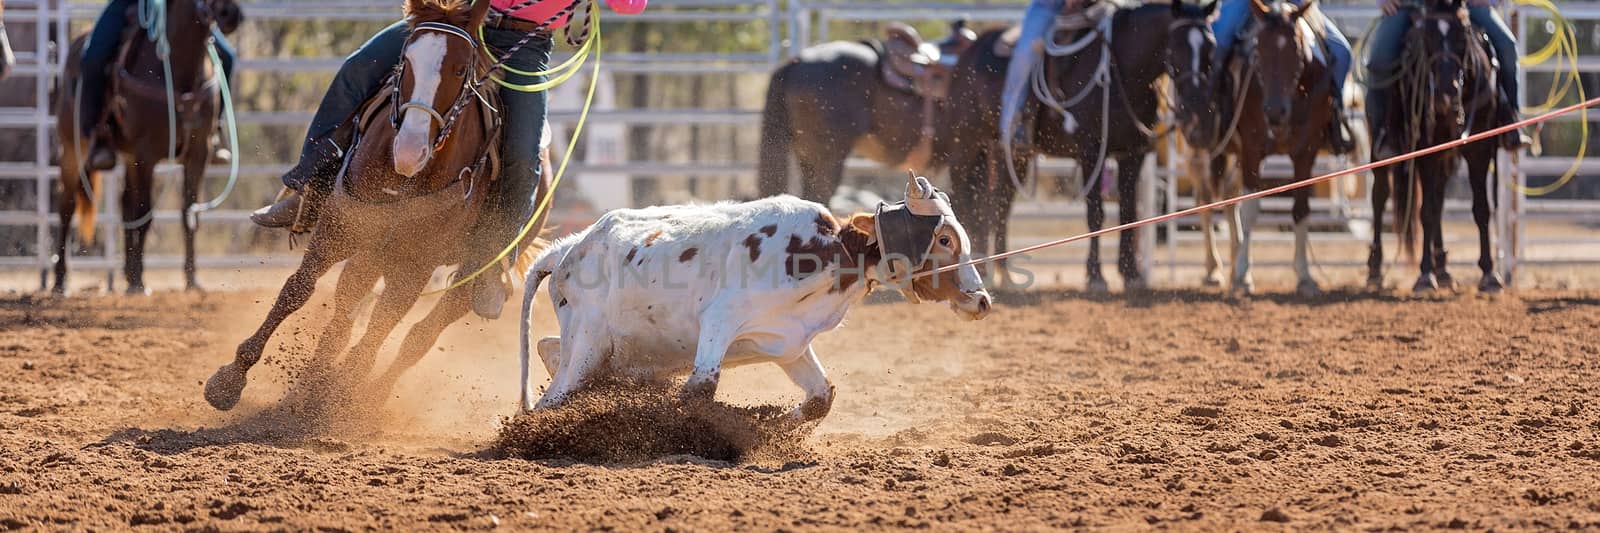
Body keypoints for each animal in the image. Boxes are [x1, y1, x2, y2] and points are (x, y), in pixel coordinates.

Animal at [54, 0, 241, 292]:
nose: (229, 14)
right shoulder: (146, 154)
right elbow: (145, 214)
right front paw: (138, 284)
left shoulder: (198, 154)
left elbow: (188, 215)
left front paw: (191, 280)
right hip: (74, 149)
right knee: (67, 206)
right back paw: (60, 281)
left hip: (128, 157)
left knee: (124, 206)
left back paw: (126, 272)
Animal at [198, 0, 550, 409]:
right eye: (405, 58)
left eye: (462, 69)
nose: (410, 151)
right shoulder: (339, 228)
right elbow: (298, 290)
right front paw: (230, 379)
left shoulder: (417, 262)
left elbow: (385, 322)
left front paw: (346, 393)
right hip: (372, 251)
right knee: (347, 309)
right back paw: (314, 379)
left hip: (465, 272)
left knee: (419, 334)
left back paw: (367, 393)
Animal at [518, 174, 985, 419]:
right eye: (944, 239)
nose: (981, 300)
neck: (828, 252)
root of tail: (570, 247)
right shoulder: (720, 320)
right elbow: (701, 387)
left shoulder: (789, 344)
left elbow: (821, 397)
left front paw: (776, 422)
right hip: (588, 344)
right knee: (550, 398)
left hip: (599, 350)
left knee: (548, 349)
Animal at [940, 3, 1184, 291]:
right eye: (1186, 42)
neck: (1120, 67)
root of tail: (968, 53)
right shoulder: (1092, 153)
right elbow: (1096, 214)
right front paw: (1096, 277)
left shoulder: (1132, 154)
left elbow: (1129, 212)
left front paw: (1131, 275)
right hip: (965, 145)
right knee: (965, 200)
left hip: (1008, 154)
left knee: (998, 204)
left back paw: (1002, 275)